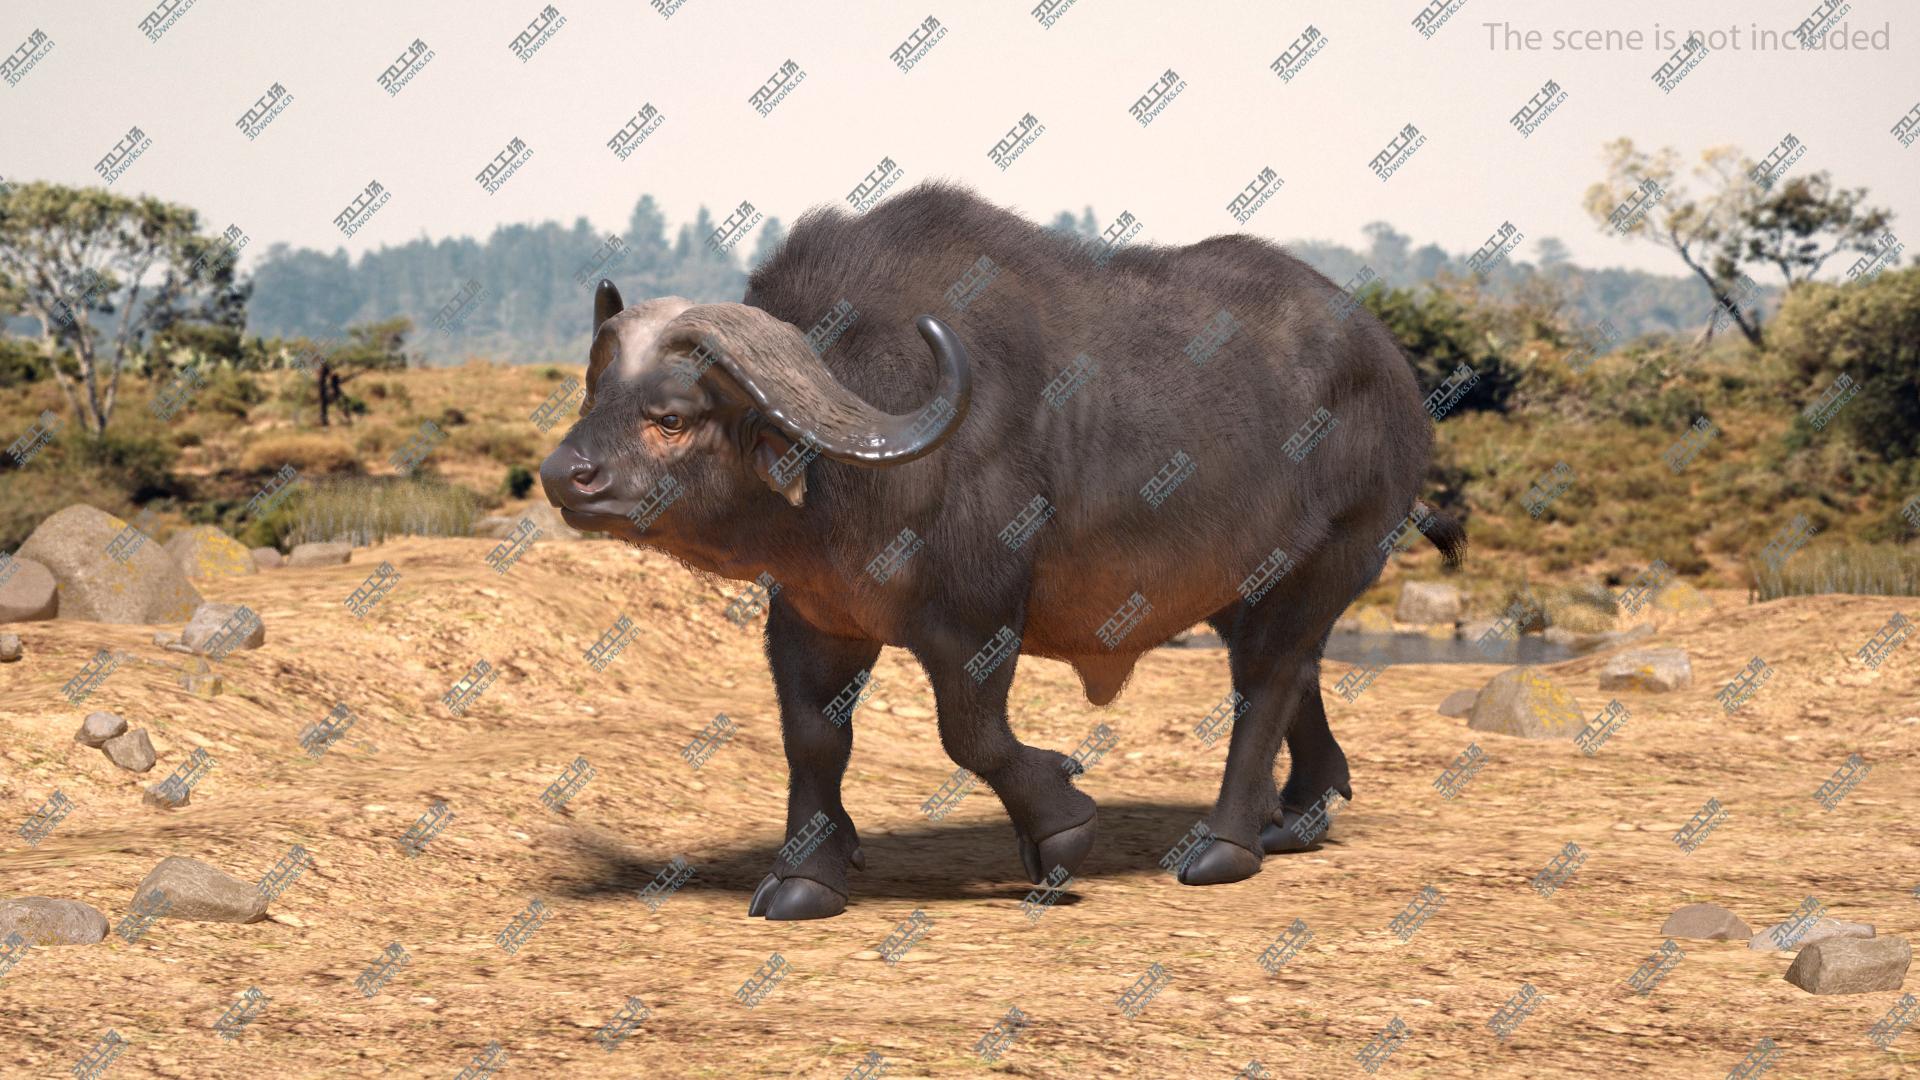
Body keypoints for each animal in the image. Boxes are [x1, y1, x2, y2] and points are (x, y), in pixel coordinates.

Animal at [541, 181, 1463, 920]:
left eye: (672, 417)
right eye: (595, 392)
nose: (563, 474)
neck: (856, 467)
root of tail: (1393, 373)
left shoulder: (976, 617)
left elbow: (971, 734)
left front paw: (1061, 827)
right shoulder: (813, 617)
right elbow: (812, 739)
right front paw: (807, 876)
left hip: (1326, 558)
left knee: (1266, 682)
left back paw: (1226, 845)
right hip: (1246, 589)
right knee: (1292, 671)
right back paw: (1300, 812)